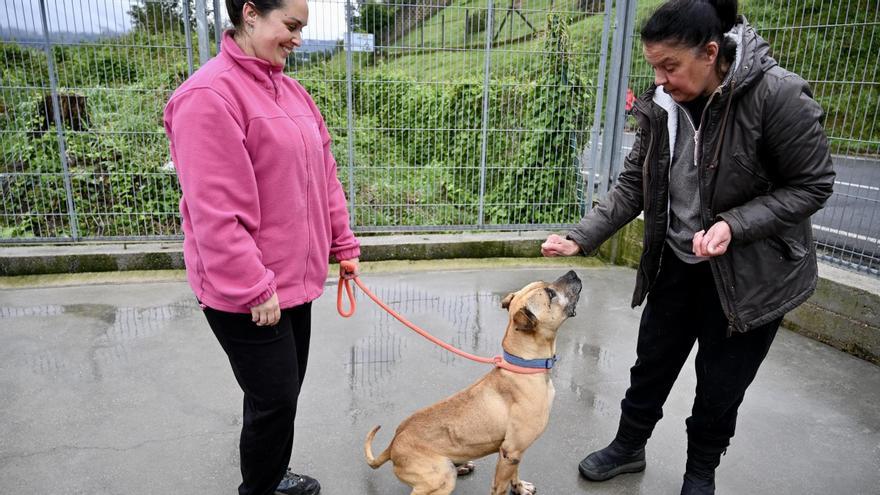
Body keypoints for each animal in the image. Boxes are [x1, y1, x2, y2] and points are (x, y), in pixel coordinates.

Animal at [360, 272, 580, 495]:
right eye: (550, 294)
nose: (572, 273)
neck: (524, 364)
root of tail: (393, 444)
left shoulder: (515, 452)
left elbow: (515, 473)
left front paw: (519, 487)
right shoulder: (511, 451)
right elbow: (500, 488)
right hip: (442, 477)